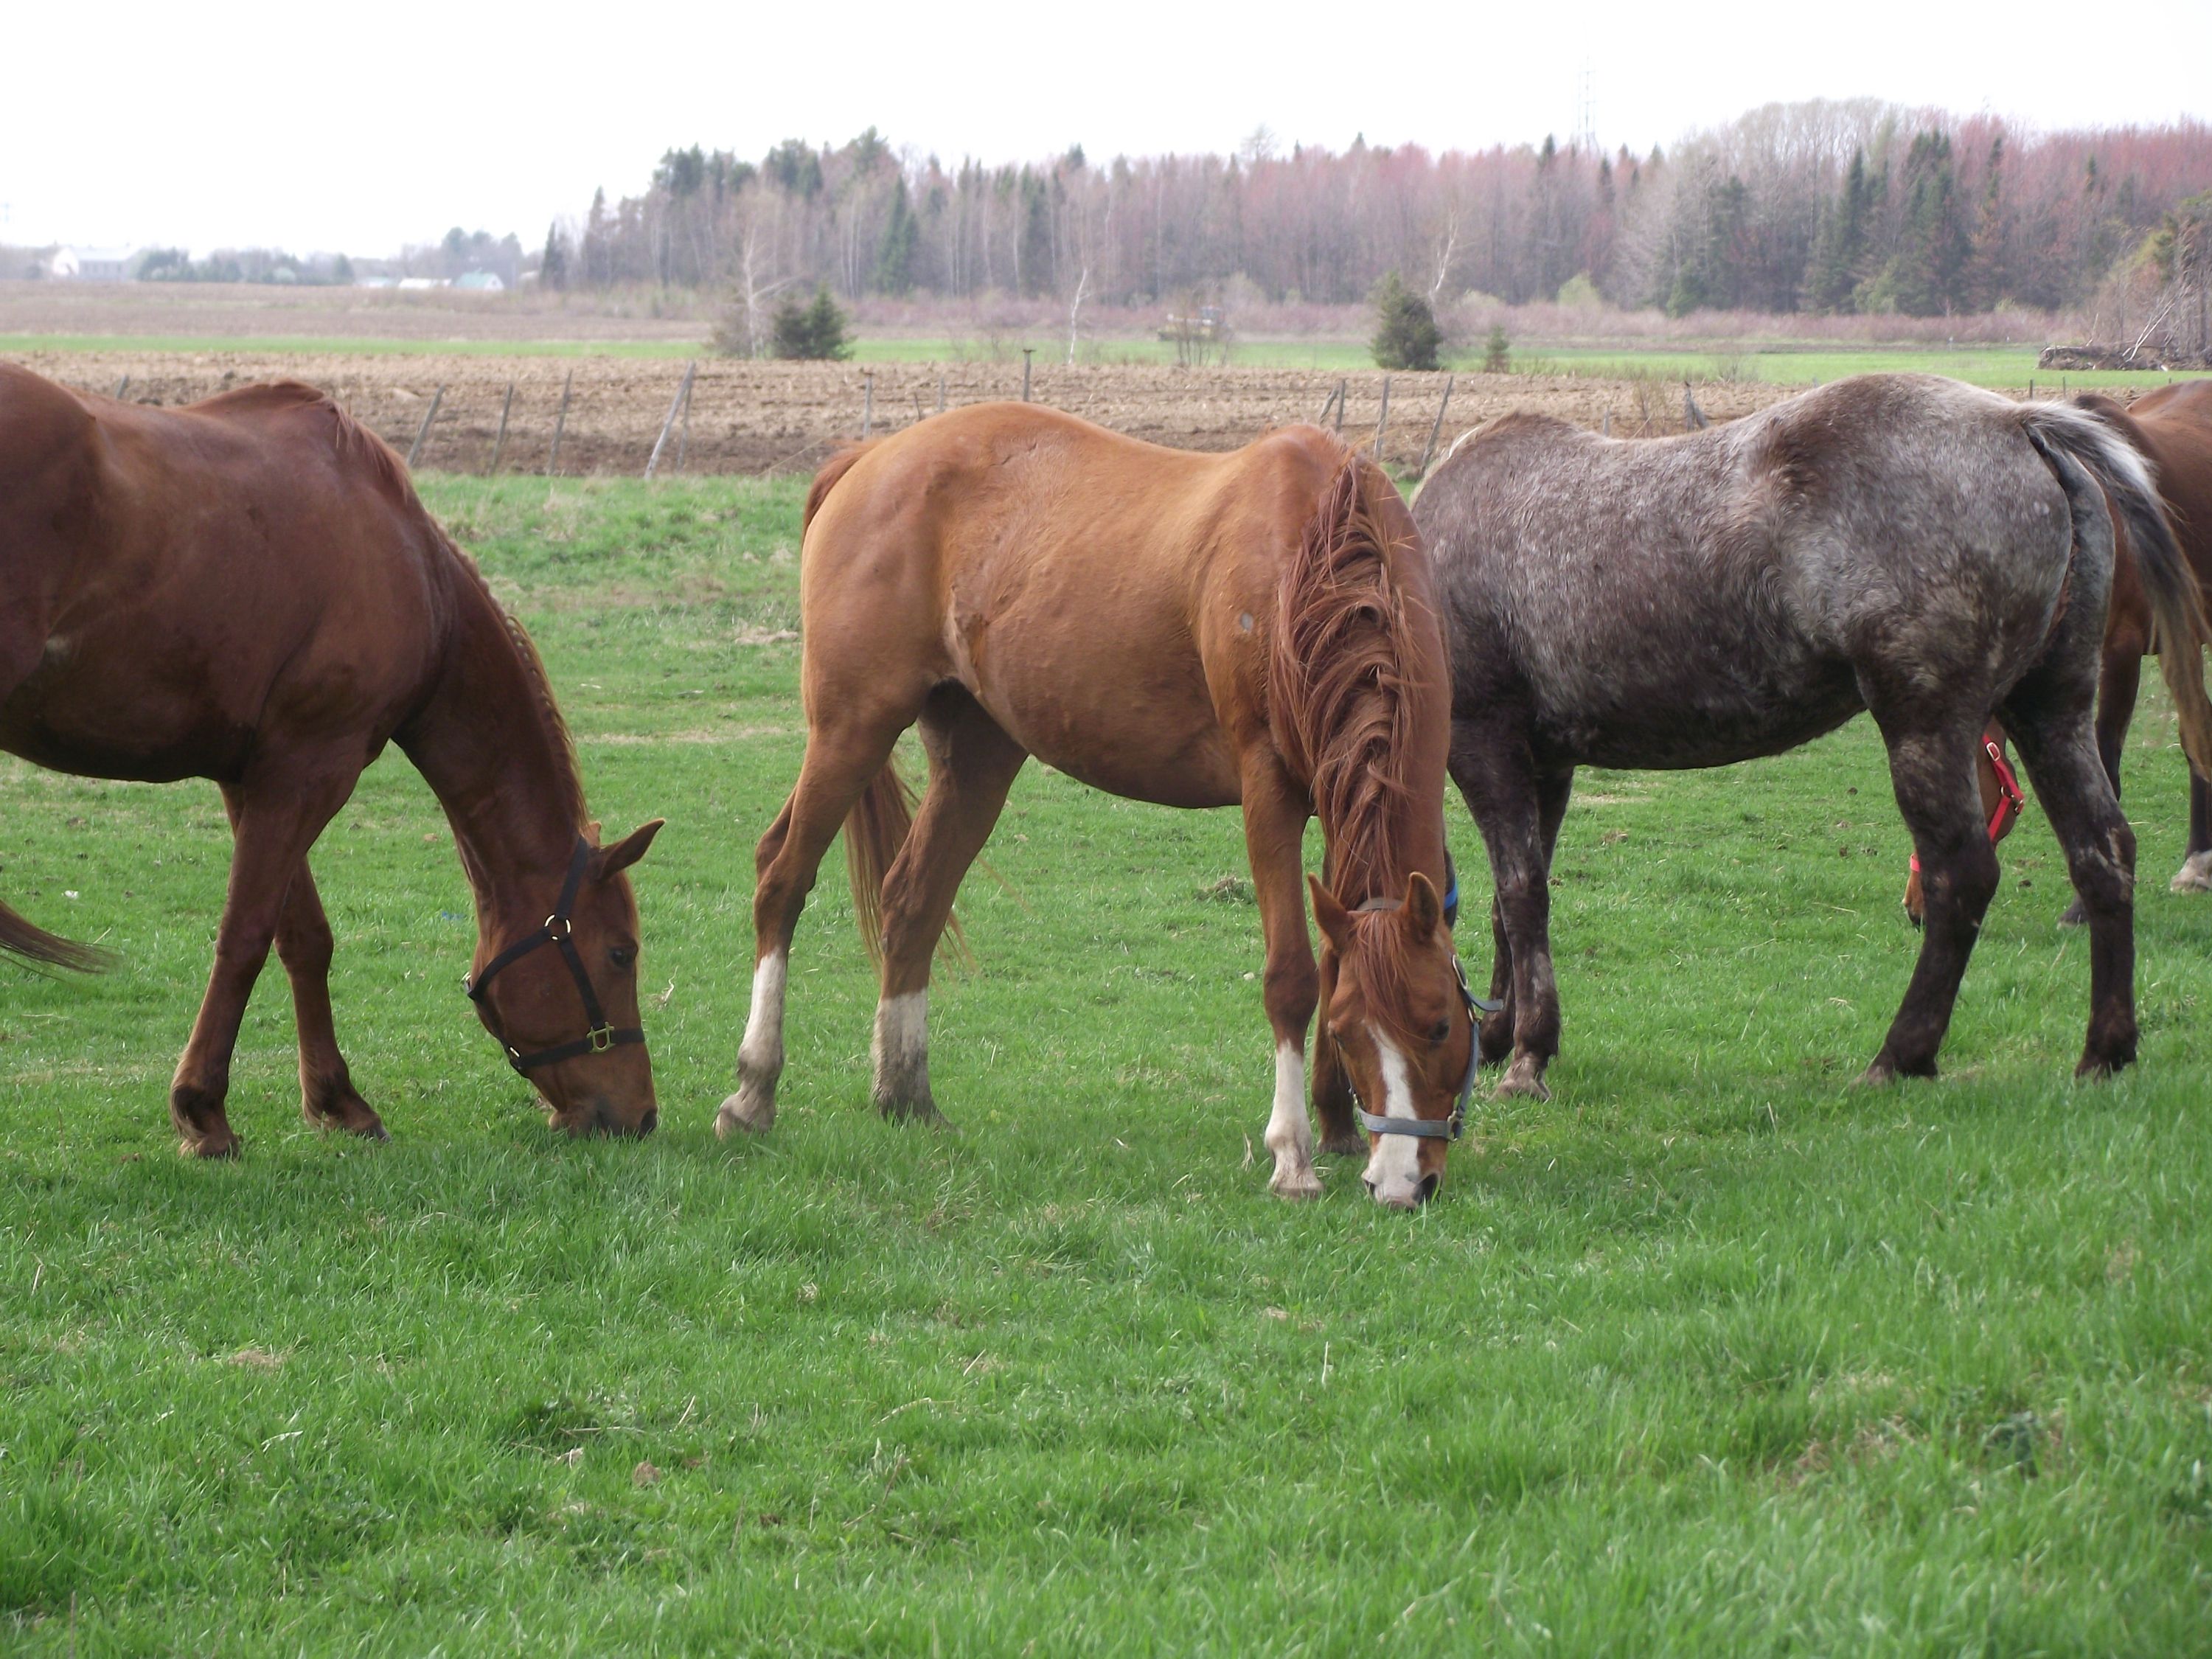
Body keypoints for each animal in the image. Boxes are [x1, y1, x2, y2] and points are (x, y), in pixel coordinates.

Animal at [0, 364, 663, 1157]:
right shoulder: (310, 773)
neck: (413, 571)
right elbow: (246, 938)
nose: (642, 1116)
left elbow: (304, 939)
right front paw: (202, 1109)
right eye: (621, 953)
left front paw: (337, 1100)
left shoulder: (254, 777)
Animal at [716, 403, 1477, 1208]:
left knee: (913, 904)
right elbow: (1293, 976)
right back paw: (753, 1091)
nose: (1403, 1184)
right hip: (851, 728)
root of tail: (867, 459)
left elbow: (1336, 957)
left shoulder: (1335, 799)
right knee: (782, 878)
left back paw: (905, 1094)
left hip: (975, 760)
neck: (1312, 553)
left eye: (1439, 1026)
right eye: (1363, 1032)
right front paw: (1293, 1153)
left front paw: (1334, 1127)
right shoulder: (1268, 786)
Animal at [1414, 373, 2212, 1099]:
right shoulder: (1546, 765)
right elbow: (1514, 901)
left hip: (1927, 728)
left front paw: (1526, 1055)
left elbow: (1520, 894)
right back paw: (2104, 1051)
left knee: (1963, 876)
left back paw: (1900, 1056)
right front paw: (1502, 1035)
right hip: (2053, 712)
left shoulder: (1483, 745)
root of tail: (2019, 422)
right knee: (2103, 853)